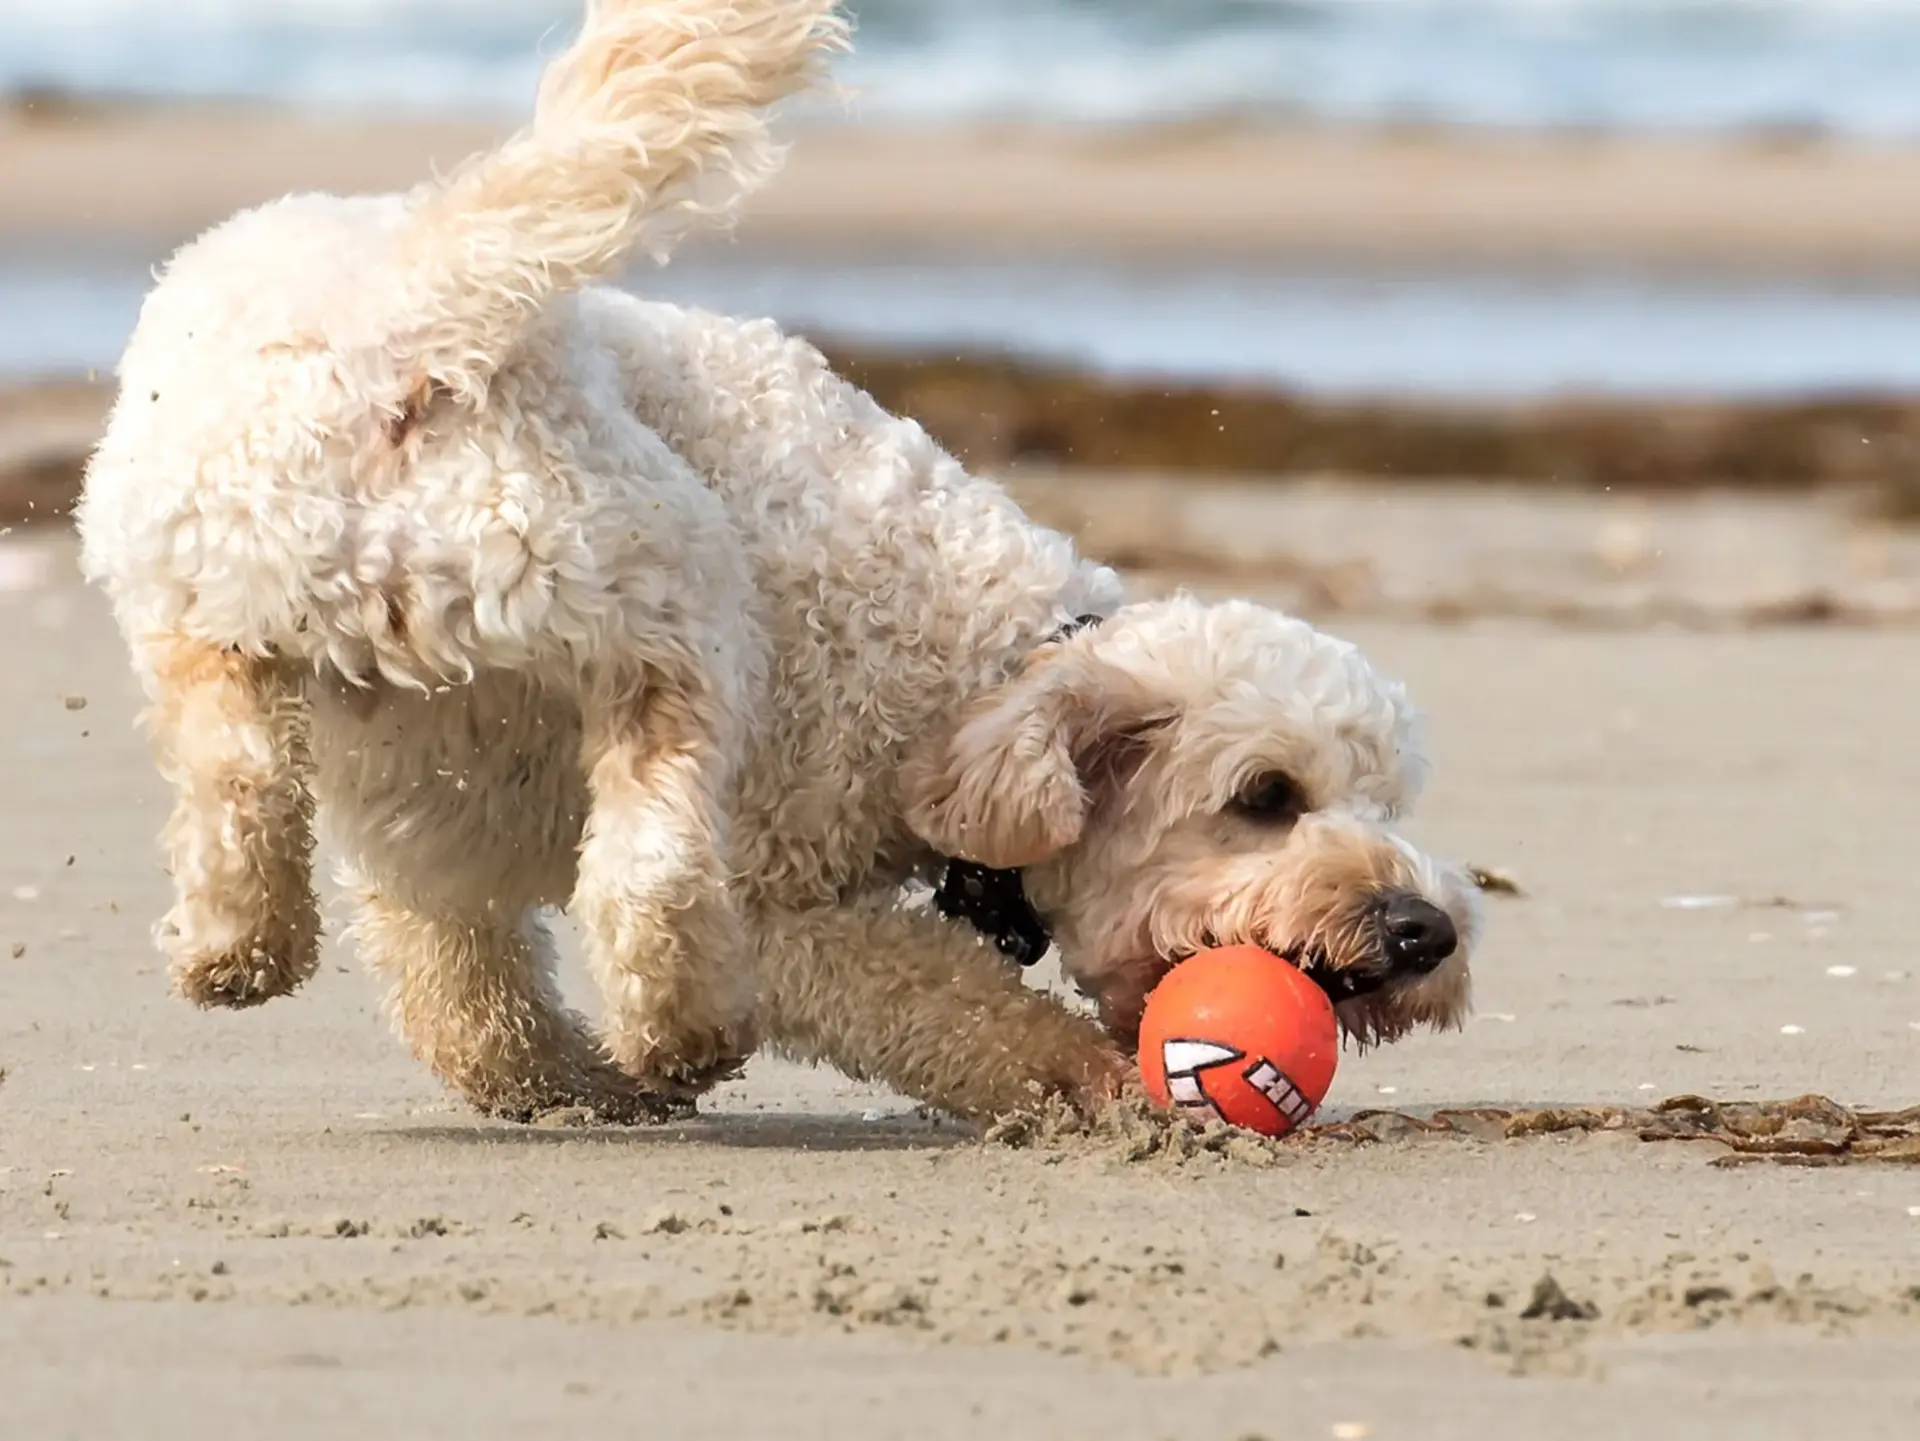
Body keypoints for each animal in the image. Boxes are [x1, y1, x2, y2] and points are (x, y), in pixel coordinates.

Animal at [78, 0, 1482, 1128]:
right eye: (1265, 796)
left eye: (1387, 799)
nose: (1427, 931)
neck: (973, 674)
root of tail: (414, 317)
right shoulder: (783, 895)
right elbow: (949, 1002)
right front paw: (1086, 1078)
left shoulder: (426, 828)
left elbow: (467, 996)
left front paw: (567, 1084)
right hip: (673, 593)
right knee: (652, 859)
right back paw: (680, 1024)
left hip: (209, 590)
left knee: (243, 772)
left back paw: (241, 943)